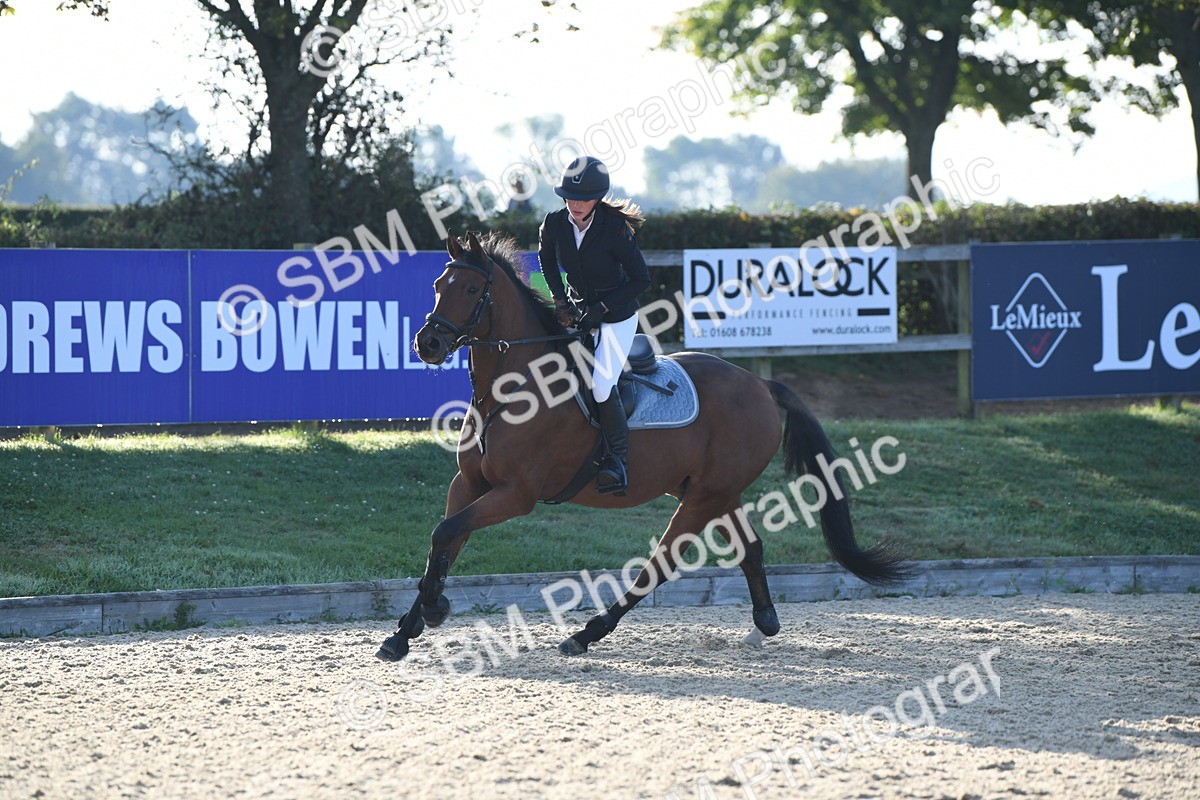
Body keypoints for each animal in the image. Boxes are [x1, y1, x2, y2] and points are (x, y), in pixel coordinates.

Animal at [376, 231, 909, 661]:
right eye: (438, 285)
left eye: (471, 289)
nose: (427, 343)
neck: (514, 387)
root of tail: (759, 383)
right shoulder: (469, 483)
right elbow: (444, 541)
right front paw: (408, 629)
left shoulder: (515, 494)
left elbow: (446, 533)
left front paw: (432, 610)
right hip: (713, 491)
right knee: (751, 547)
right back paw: (764, 623)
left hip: (702, 498)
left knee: (661, 564)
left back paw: (587, 634)